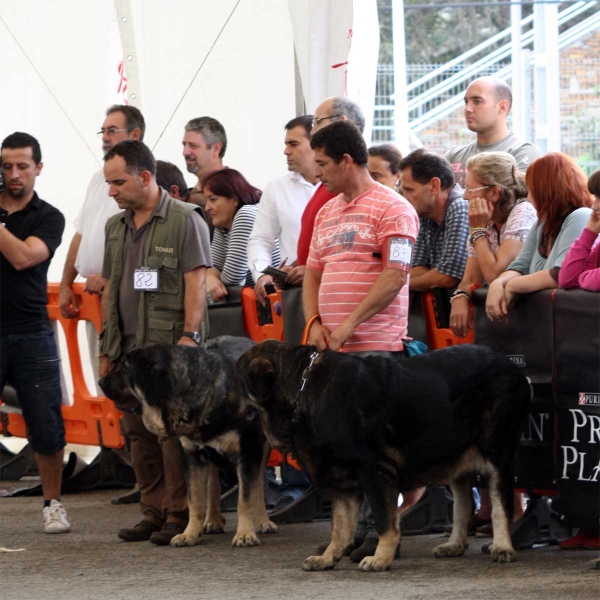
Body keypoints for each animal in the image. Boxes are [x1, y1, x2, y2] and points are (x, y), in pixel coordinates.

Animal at [98, 336, 276, 552]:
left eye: (126, 368)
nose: (100, 381)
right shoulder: (192, 457)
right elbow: (196, 502)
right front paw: (189, 534)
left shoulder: (248, 453)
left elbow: (245, 499)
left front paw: (245, 534)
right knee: (214, 482)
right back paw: (213, 519)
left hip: (263, 447)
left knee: (259, 485)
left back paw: (262, 521)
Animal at [237, 342, 532, 572]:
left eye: (236, 378)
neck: (303, 389)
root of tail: (513, 368)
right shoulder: (343, 482)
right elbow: (339, 527)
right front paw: (328, 557)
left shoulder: (376, 471)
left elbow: (384, 521)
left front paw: (380, 558)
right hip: (455, 458)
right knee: (463, 504)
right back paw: (455, 545)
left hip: (496, 452)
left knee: (500, 504)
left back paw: (502, 546)